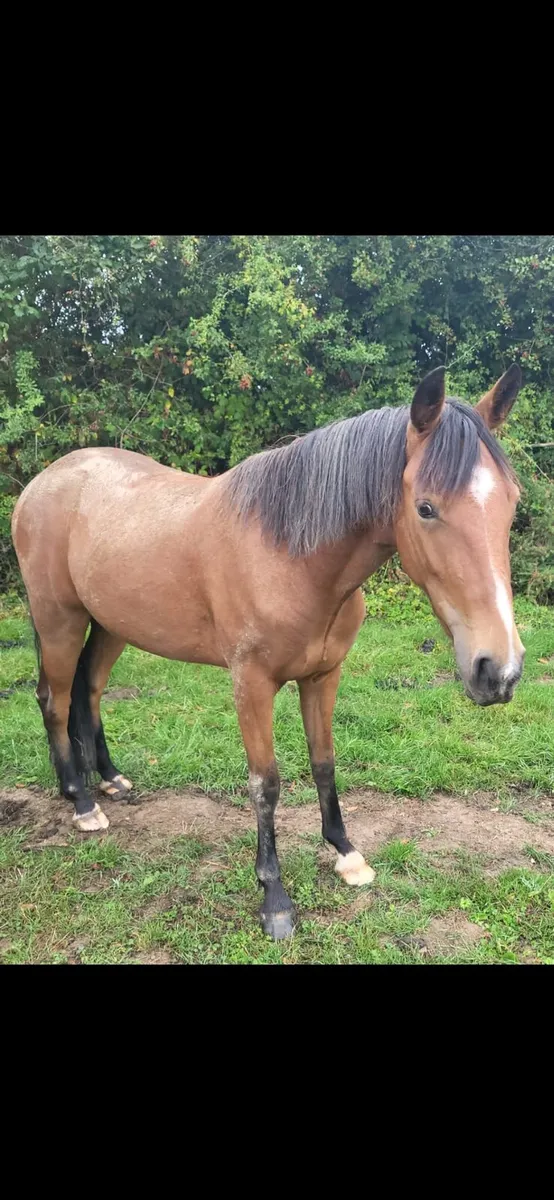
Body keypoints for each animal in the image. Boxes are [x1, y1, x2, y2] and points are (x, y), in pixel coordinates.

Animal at [11, 363, 524, 940]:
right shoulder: (251, 685)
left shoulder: (323, 676)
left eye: (512, 503)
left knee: (89, 692)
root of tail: (43, 483)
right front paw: (274, 898)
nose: (498, 670)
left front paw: (346, 853)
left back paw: (109, 780)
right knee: (54, 700)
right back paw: (79, 800)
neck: (291, 558)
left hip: (110, 625)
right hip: (59, 619)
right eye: (426, 508)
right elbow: (266, 784)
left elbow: (324, 762)